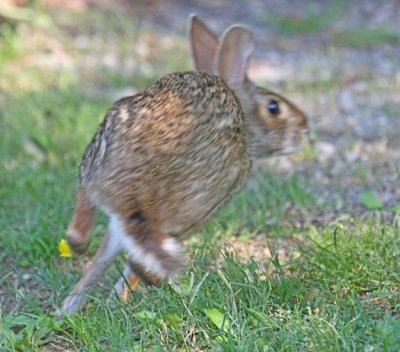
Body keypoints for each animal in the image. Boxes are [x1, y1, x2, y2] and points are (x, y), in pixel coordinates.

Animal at [61, 17, 308, 314]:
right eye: (273, 107)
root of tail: (134, 186)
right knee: (143, 261)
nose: (305, 129)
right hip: (187, 209)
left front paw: (112, 302)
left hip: (98, 156)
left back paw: (69, 304)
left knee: (90, 232)